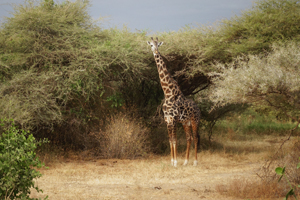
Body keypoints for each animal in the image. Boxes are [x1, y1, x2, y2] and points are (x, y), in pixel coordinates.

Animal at [146, 37, 200, 167]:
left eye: (158, 45)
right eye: (151, 45)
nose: (156, 52)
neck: (168, 93)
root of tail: (198, 108)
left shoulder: (174, 119)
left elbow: (174, 140)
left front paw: (175, 162)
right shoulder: (167, 119)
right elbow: (170, 140)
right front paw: (171, 161)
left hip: (195, 120)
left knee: (195, 138)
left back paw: (195, 162)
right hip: (186, 122)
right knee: (189, 138)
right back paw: (185, 161)